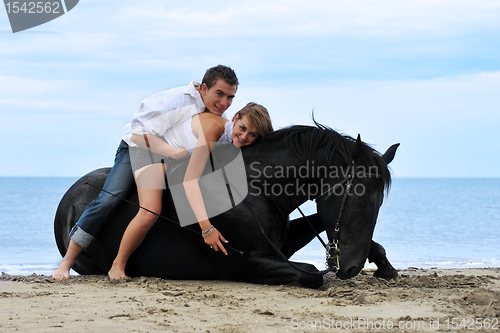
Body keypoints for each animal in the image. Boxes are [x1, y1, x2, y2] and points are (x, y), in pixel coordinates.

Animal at [54, 124, 398, 288]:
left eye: (379, 202)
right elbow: (312, 273)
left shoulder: (282, 241)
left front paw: (386, 267)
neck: (250, 189)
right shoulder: (249, 262)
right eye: (359, 198)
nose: (351, 268)